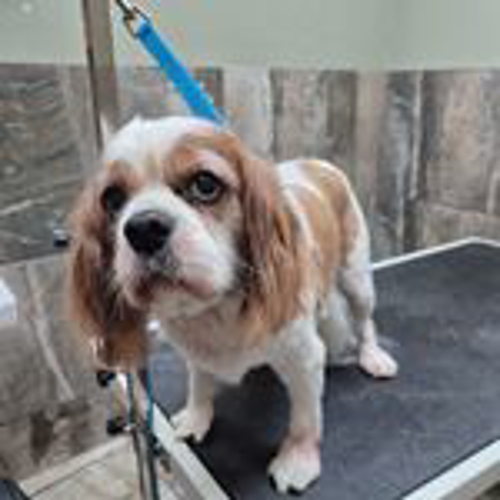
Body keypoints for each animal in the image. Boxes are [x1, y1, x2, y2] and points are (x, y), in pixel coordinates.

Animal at [68, 116, 398, 494]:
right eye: (112, 199)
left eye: (205, 184)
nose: (143, 228)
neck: (215, 310)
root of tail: (317, 163)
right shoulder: (195, 351)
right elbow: (199, 383)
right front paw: (197, 417)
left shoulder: (304, 358)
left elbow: (304, 419)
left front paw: (298, 460)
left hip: (357, 276)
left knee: (365, 320)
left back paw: (373, 356)